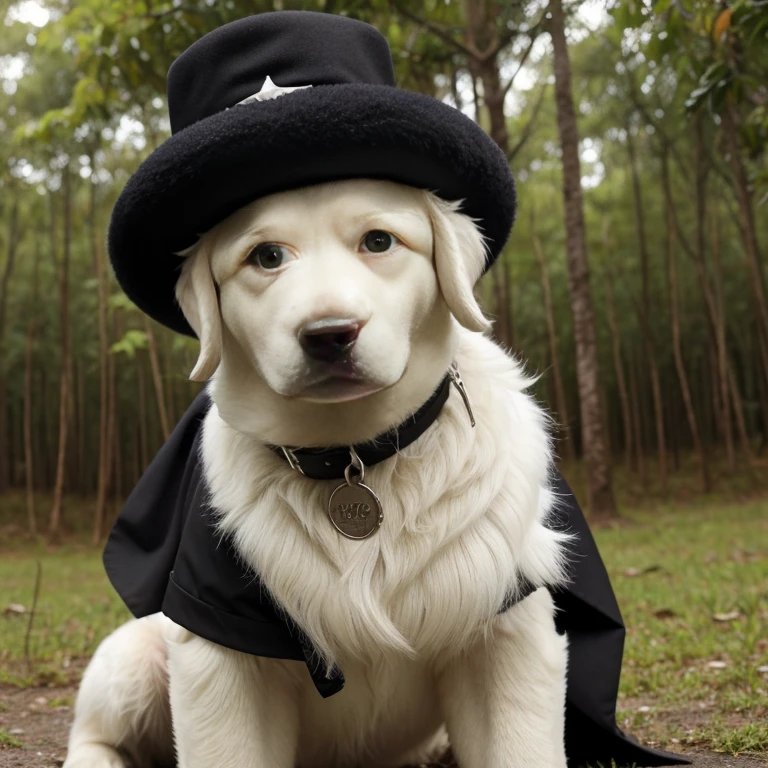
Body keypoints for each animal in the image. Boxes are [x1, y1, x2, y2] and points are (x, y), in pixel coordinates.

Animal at [64, 180, 568, 768]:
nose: (329, 334)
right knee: (93, 731)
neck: (353, 456)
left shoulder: (505, 630)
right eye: (267, 256)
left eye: (379, 241)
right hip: (132, 653)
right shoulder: (218, 650)